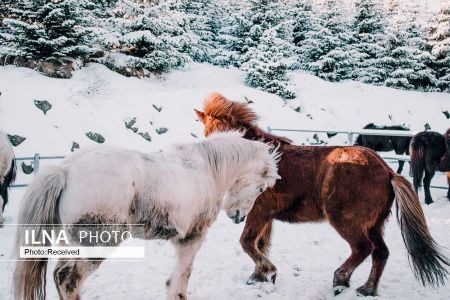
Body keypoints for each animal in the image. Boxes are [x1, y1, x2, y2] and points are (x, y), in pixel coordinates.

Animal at [14, 132, 280, 300]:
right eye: (260, 188)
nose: (238, 217)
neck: (207, 170)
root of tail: (66, 170)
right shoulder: (192, 239)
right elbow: (182, 277)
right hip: (97, 246)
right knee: (69, 281)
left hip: (73, 245)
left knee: (59, 276)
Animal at [194, 92, 450, 296]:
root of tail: (387, 170)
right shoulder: (265, 216)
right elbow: (260, 244)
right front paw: (260, 277)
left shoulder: (259, 212)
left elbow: (247, 242)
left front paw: (267, 272)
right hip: (374, 224)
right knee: (380, 253)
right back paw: (366, 290)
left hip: (345, 220)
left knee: (362, 248)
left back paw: (340, 280)